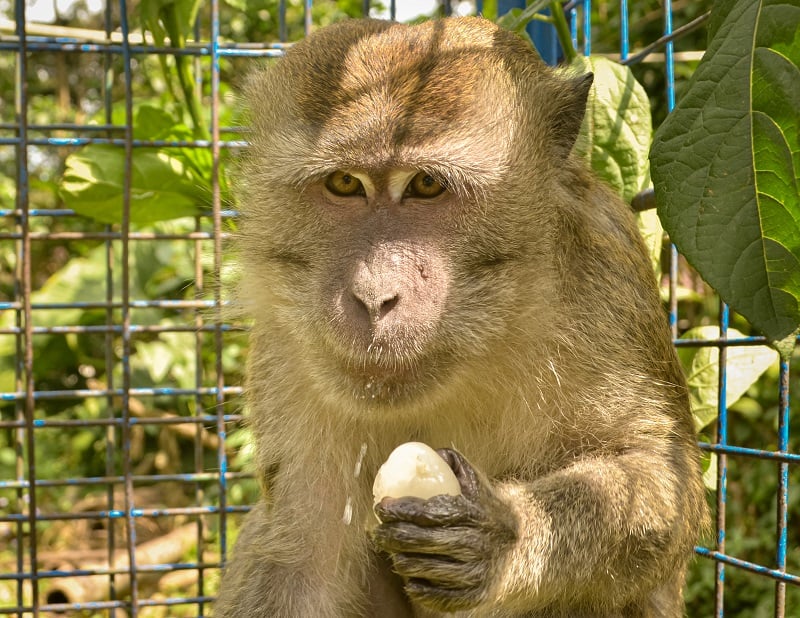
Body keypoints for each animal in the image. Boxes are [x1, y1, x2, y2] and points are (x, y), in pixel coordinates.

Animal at [215, 16, 707, 618]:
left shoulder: (602, 283)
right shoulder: (288, 349)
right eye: (345, 184)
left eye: (427, 184)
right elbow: (301, 561)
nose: (374, 294)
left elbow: (661, 477)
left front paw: (507, 534)